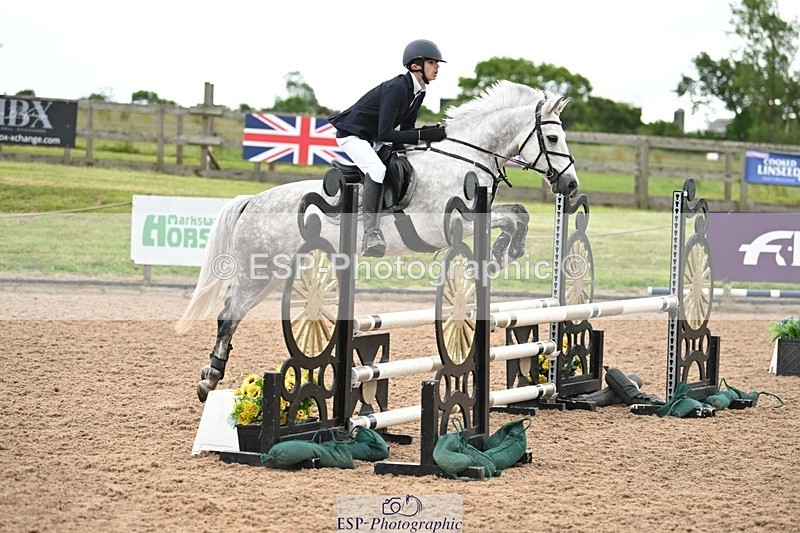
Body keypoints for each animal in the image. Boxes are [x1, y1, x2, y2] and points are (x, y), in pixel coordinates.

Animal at [176, 80, 580, 402]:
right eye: (553, 137)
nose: (571, 185)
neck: (464, 159)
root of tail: (252, 201)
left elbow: (518, 213)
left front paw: (503, 253)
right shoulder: (450, 224)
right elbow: (512, 217)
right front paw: (502, 253)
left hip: (273, 273)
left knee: (232, 312)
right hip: (259, 272)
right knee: (229, 314)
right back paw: (209, 380)